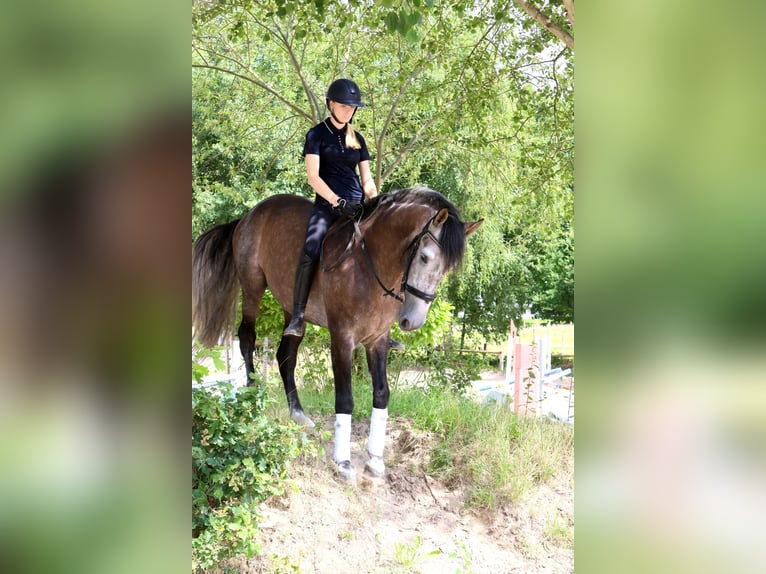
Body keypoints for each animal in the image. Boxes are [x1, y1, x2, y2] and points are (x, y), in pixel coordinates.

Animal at [192, 186, 482, 481]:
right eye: (424, 257)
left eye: (447, 269)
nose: (413, 321)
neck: (373, 262)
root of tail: (248, 215)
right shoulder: (342, 338)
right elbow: (345, 398)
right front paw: (343, 461)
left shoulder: (377, 341)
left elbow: (382, 394)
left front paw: (375, 459)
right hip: (252, 287)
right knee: (247, 339)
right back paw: (253, 398)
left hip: (291, 308)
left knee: (286, 355)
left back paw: (298, 414)